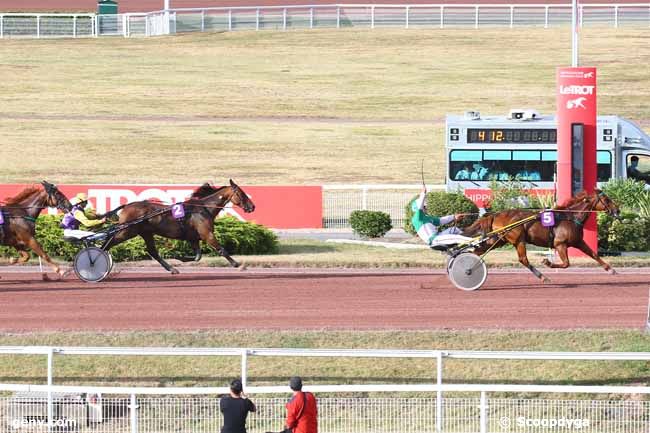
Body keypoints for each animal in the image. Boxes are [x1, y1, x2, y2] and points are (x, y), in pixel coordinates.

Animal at [100, 179, 254, 274]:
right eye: (241, 193)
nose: (252, 206)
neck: (204, 208)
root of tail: (127, 206)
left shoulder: (194, 238)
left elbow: (197, 257)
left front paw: (179, 257)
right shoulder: (206, 234)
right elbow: (222, 250)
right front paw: (239, 265)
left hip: (145, 232)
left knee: (152, 251)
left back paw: (172, 269)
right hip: (127, 231)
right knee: (108, 242)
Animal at [460, 188, 616, 282]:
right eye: (607, 200)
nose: (617, 210)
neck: (570, 217)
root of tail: (496, 214)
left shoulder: (578, 242)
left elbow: (594, 254)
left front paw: (611, 269)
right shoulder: (560, 244)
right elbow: (566, 263)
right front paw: (547, 262)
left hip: (499, 240)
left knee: (477, 251)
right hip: (518, 239)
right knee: (523, 259)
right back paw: (543, 277)